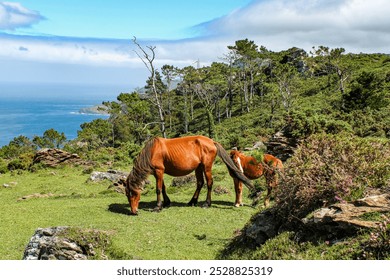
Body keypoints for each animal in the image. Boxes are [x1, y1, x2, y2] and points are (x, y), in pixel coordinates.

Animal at [123, 136, 254, 214]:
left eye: (133, 193)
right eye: (127, 194)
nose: (133, 211)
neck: (152, 151)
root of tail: (212, 141)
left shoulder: (159, 171)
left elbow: (158, 189)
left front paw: (158, 206)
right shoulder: (159, 172)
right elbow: (163, 188)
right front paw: (166, 203)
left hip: (206, 167)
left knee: (209, 183)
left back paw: (206, 203)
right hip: (198, 167)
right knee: (200, 183)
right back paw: (192, 201)